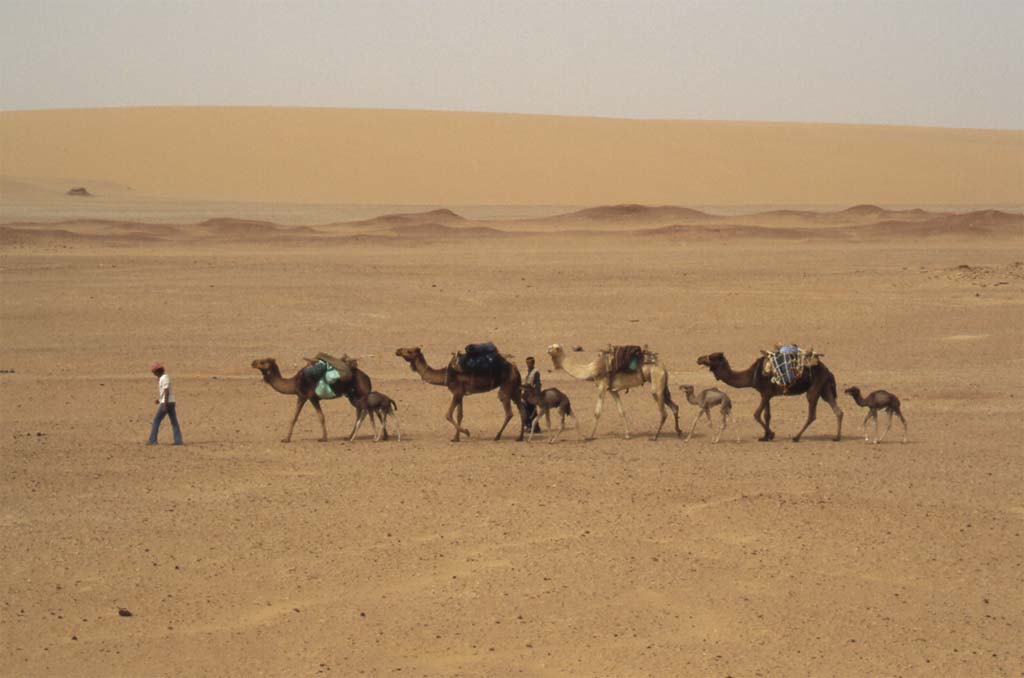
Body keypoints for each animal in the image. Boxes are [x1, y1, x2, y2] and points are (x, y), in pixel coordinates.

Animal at [393, 348, 524, 444]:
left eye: (409, 351)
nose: (398, 350)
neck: (445, 376)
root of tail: (514, 367)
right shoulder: (460, 394)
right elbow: (459, 414)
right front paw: (456, 438)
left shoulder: (456, 392)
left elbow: (448, 414)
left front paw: (466, 432)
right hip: (514, 388)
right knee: (521, 408)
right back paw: (520, 437)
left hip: (507, 385)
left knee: (508, 411)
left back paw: (497, 436)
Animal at [544, 346, 679, 440]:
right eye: (551, 346)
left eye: (556, 347)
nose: (547, 349)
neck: (591, 369)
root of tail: (663, 366)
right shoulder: (612, 390)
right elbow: (621, 411)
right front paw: (627, 435)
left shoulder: (602, 386)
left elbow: (597, 412)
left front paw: (589, 436)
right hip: (661, 384)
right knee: (674, 406)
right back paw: (678, 431)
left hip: (656, 380)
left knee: (663, 411)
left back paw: (655, 436)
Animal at [696, 352, 847, 444]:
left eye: (712, 357)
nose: (699, 359)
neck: (751, 375)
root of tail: (828, 371)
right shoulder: (766, 394)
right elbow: (767, 415)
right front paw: (765, 436)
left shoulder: (765, 393)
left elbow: (756, 414)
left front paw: (771, 434)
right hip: (825, 389)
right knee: (838, 410)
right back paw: (836, 437)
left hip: (814, 388)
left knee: (812, 414)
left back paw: (796, 437)